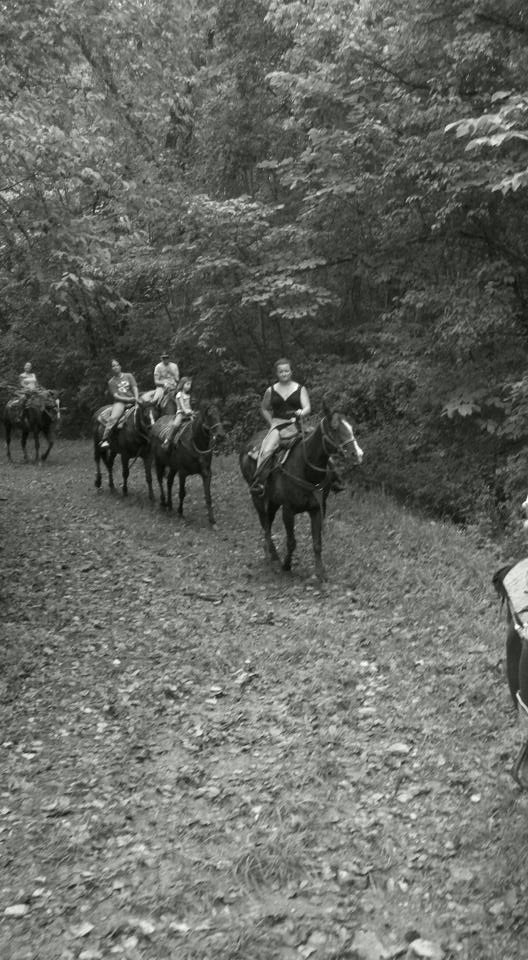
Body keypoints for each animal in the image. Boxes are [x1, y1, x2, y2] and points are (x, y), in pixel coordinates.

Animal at [239, 404, 364, 580]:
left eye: (351, 428)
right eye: (334, 429)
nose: (358, 454)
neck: (306, 469)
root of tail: (247, 445)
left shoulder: (317, 508)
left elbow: (317, 543)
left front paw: (320, 573)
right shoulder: (288, 510)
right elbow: (291, 542)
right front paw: (286, 565)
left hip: (272, 502)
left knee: (268, 522)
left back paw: (272, 554)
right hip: (257, 498)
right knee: (265, 525)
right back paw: (271, 554)